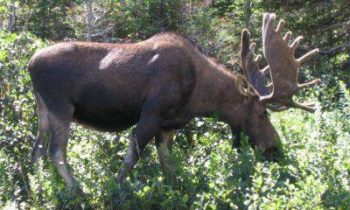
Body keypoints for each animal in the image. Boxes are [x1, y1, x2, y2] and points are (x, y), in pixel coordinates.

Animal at [29, 13, 320, 188]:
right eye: (262, 113)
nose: (275, 148)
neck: (200, 98)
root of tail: (29, 64)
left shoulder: (168, 125)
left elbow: (168, 166)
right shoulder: (152, 114)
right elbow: (130, 160)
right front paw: (115, 190)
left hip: (43, 109)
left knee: (37, 150)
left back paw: (36, 186)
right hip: (61, 107)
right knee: (56, 152)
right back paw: (79, 192)